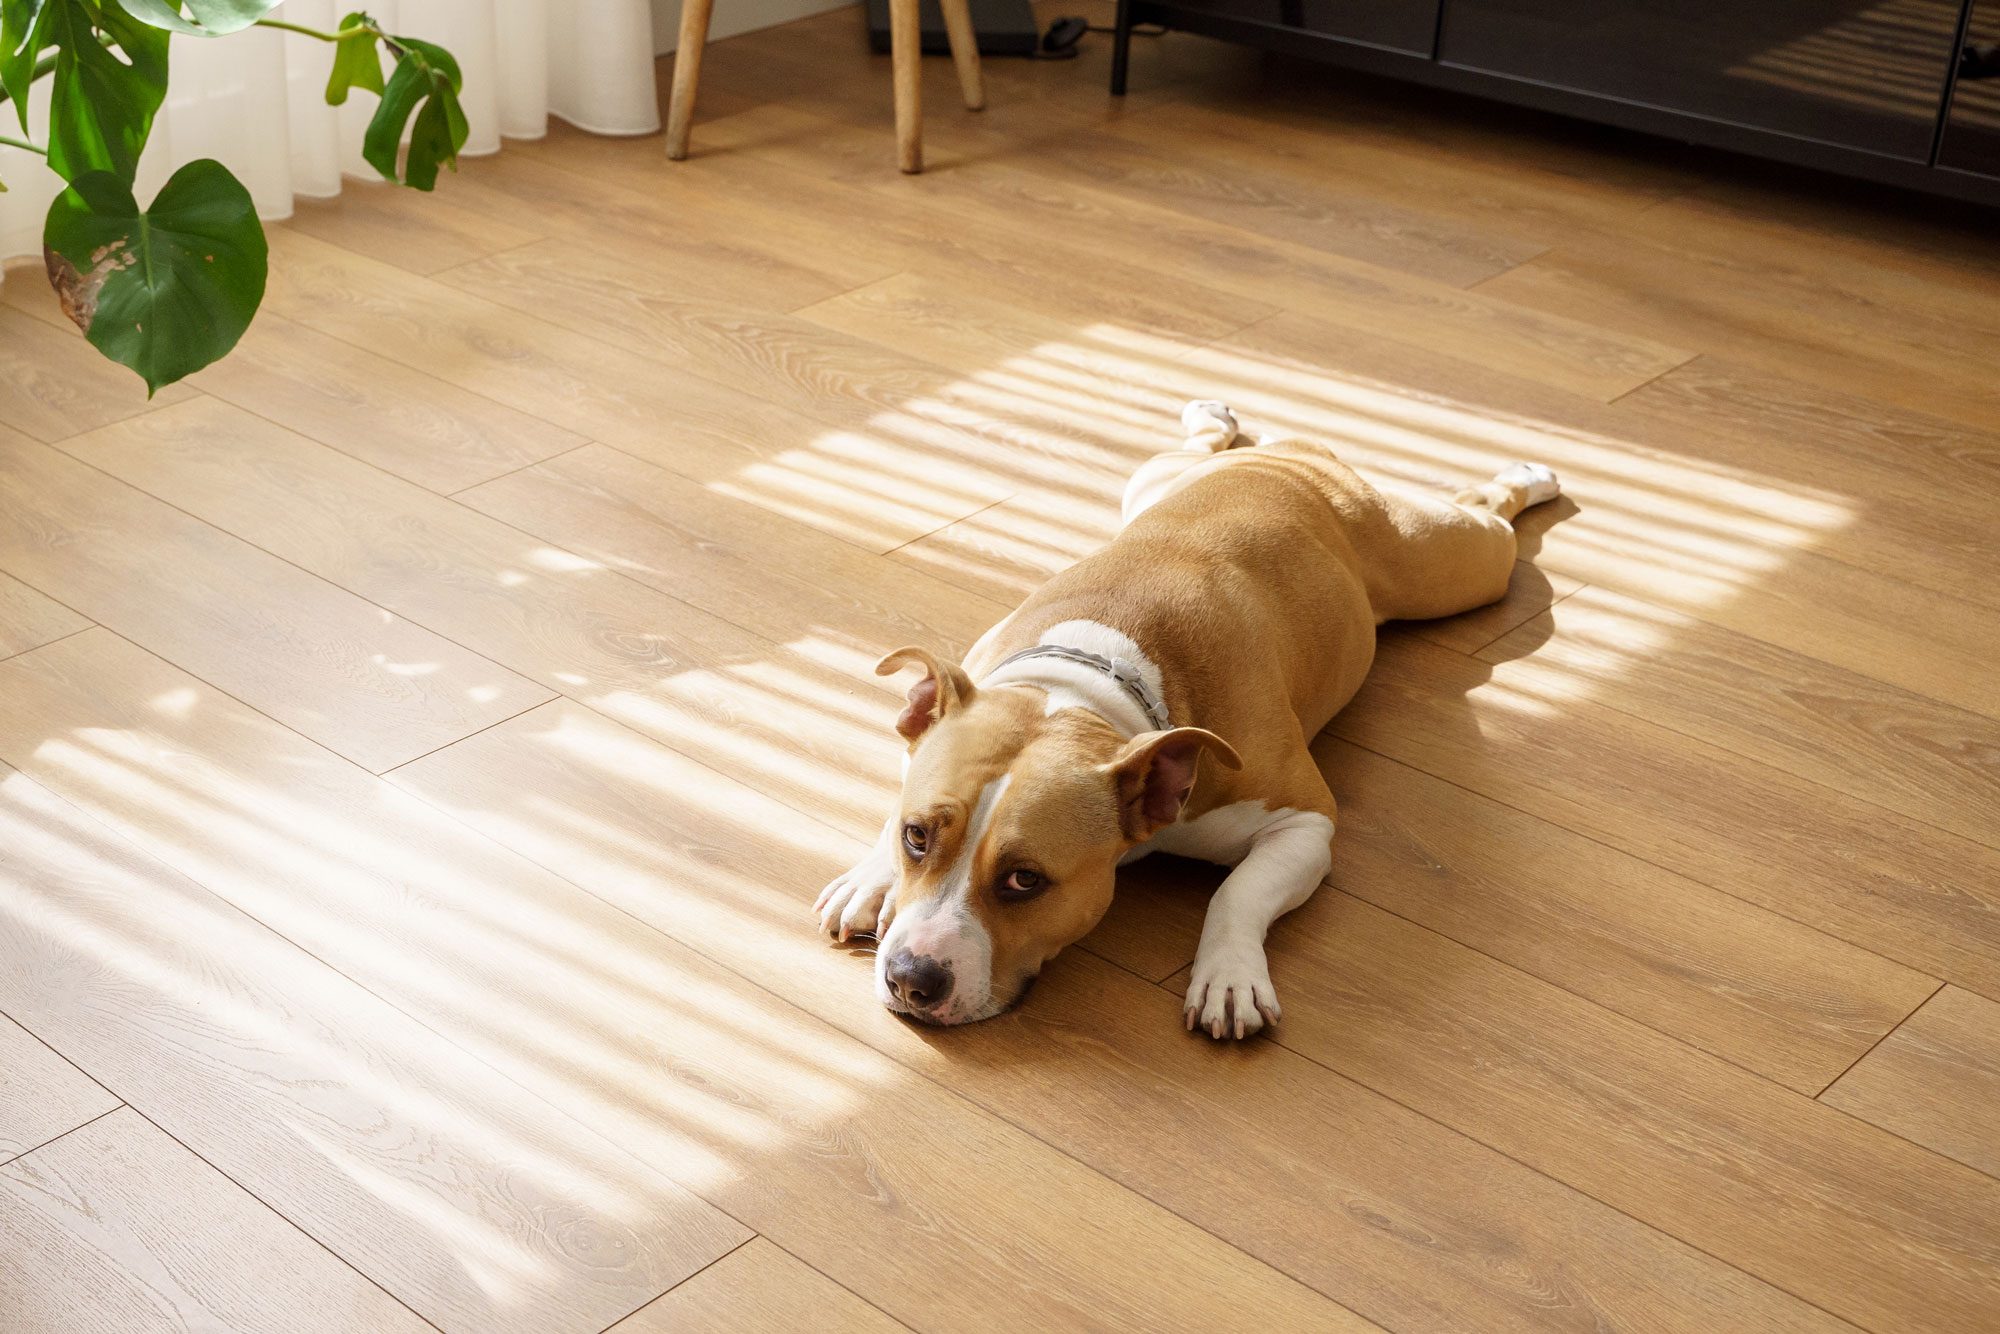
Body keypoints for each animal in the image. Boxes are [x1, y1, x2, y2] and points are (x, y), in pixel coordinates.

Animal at [812, 402, 1560, 1040]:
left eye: (1026, 881)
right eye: (917, 837)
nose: (912, 978)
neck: (1085, 689)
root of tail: (1291, 456)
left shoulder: (1304, 821)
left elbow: (1238, 891)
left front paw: (1229, 977)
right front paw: (869, 877)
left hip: (1448, 565)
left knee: (1486, 514)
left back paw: (1529, 477)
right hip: (1150, 482)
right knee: (1195, 448)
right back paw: (1215, 418)